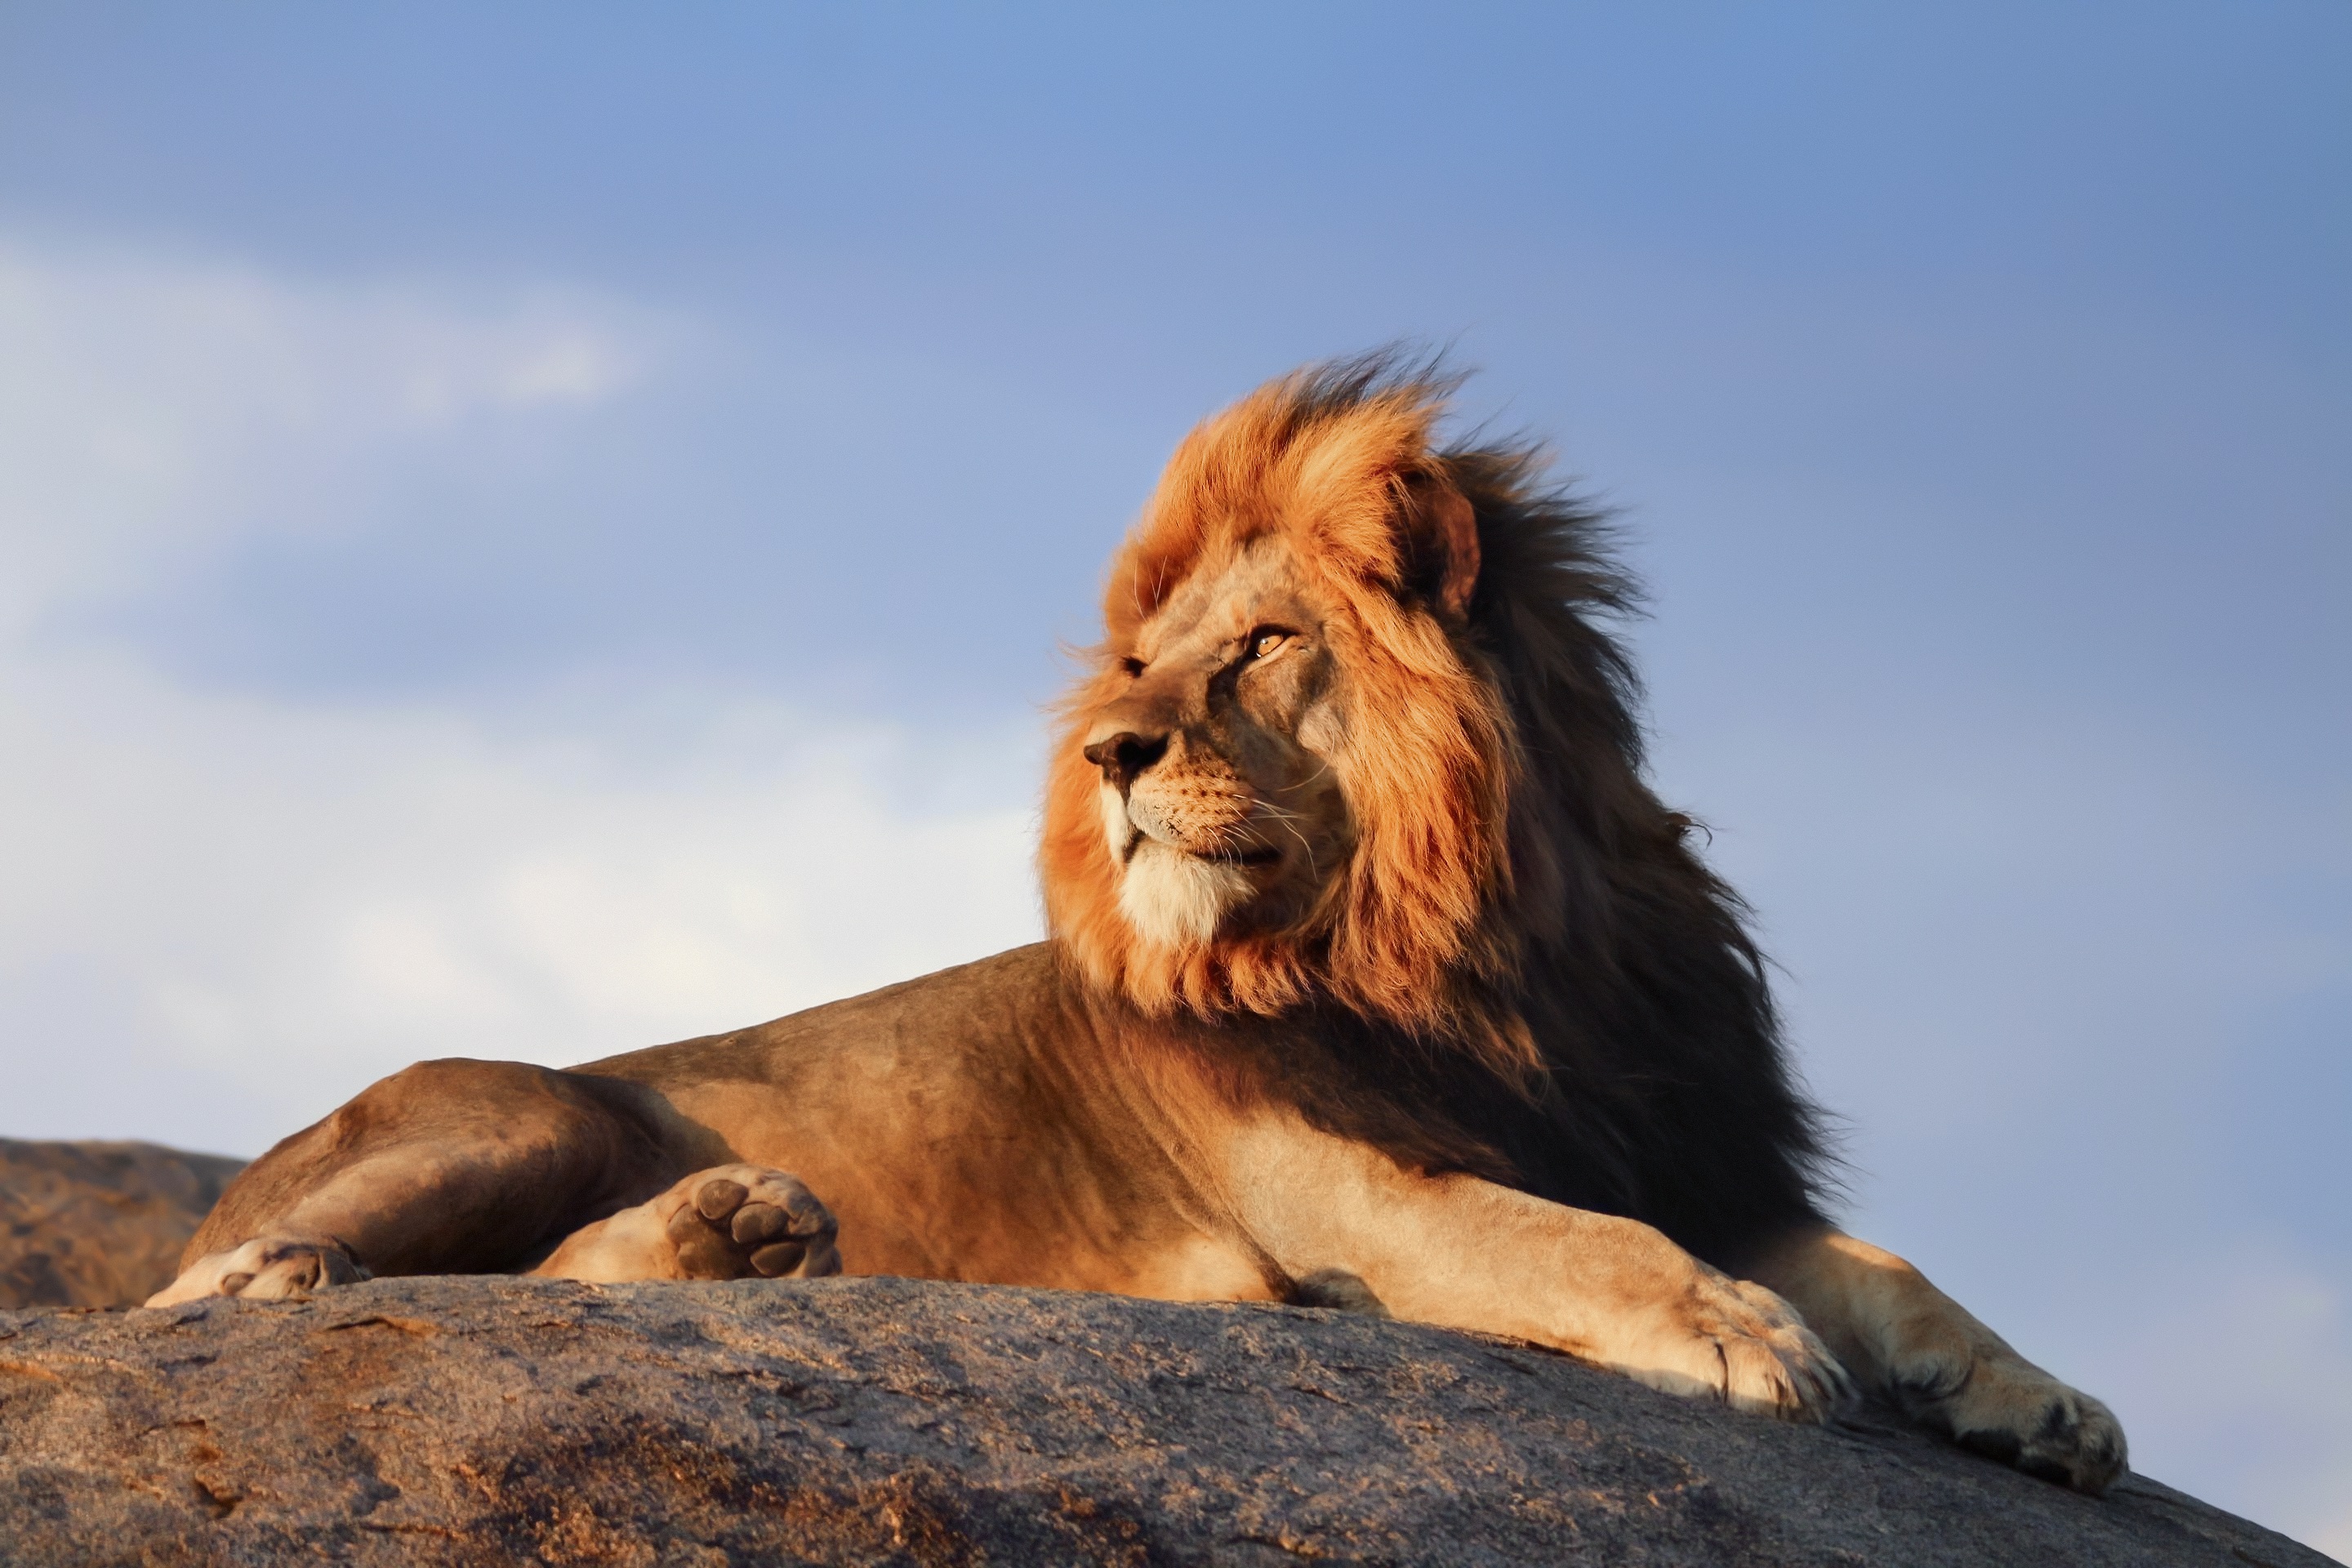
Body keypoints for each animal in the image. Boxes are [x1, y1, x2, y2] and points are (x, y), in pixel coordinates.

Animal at [151, 354, 2126, 1492]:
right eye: (1136, 673)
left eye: (1256, 648)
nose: (1111, 753)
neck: (1487, 958)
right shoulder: (1345, 1191)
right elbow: (1576, 1241)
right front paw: (1741, 1337)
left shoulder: (1693, 1144)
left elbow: (1890, 1266)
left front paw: (2046, 1403)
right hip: (521, 1111)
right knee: (227, 1286)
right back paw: (293, 1272)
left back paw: (742, 1237)